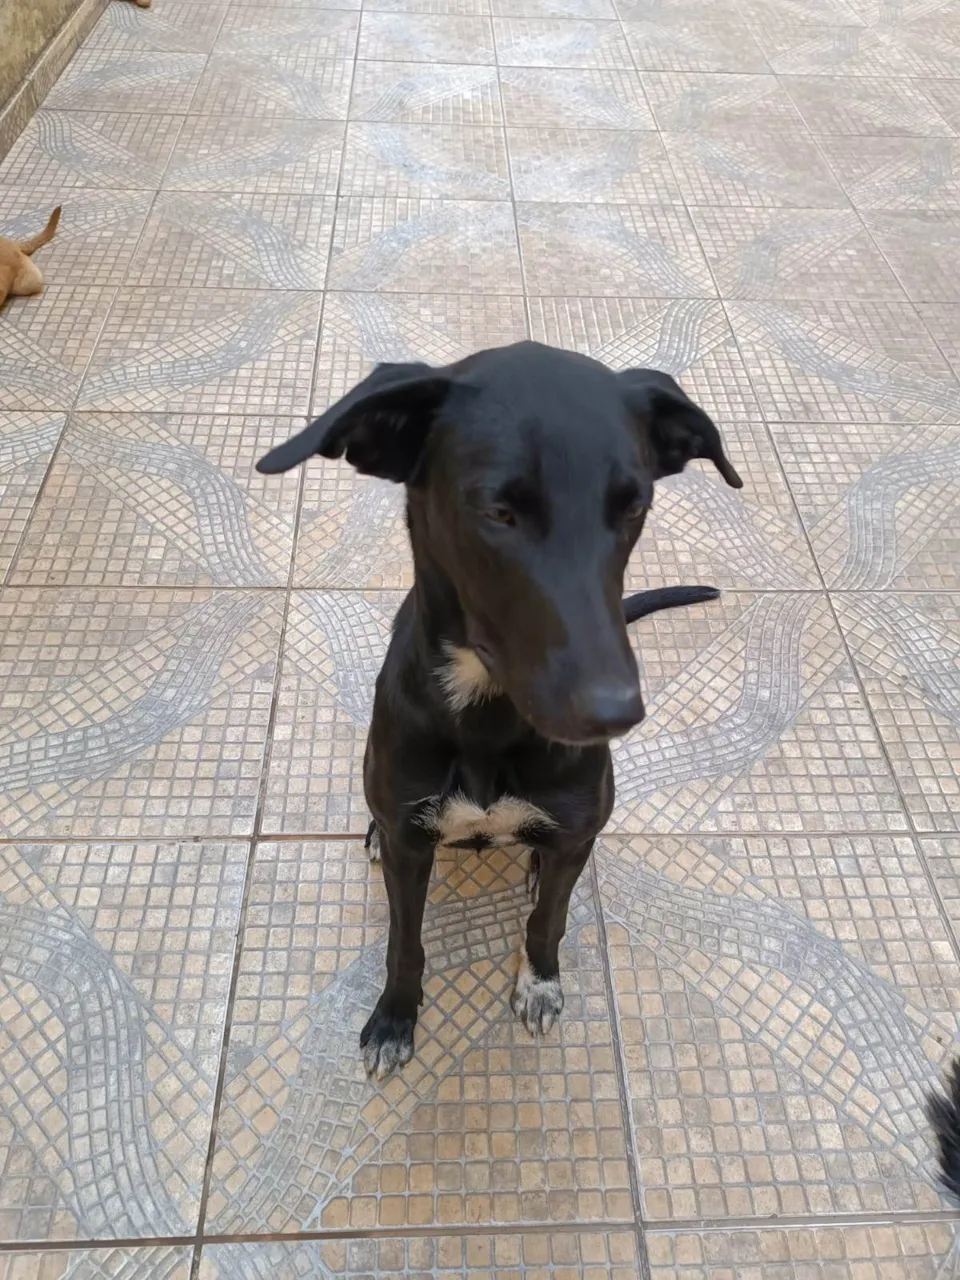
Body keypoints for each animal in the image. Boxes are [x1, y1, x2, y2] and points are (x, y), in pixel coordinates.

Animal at [258, 341, 743, 1079]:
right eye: (499, 512)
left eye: (634, 506)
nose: (617, 712)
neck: (486, 714)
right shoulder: (408, 845)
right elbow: (404, 941)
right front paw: (395, 1018)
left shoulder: (573, 835)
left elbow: (549, 922)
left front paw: (539, 983)